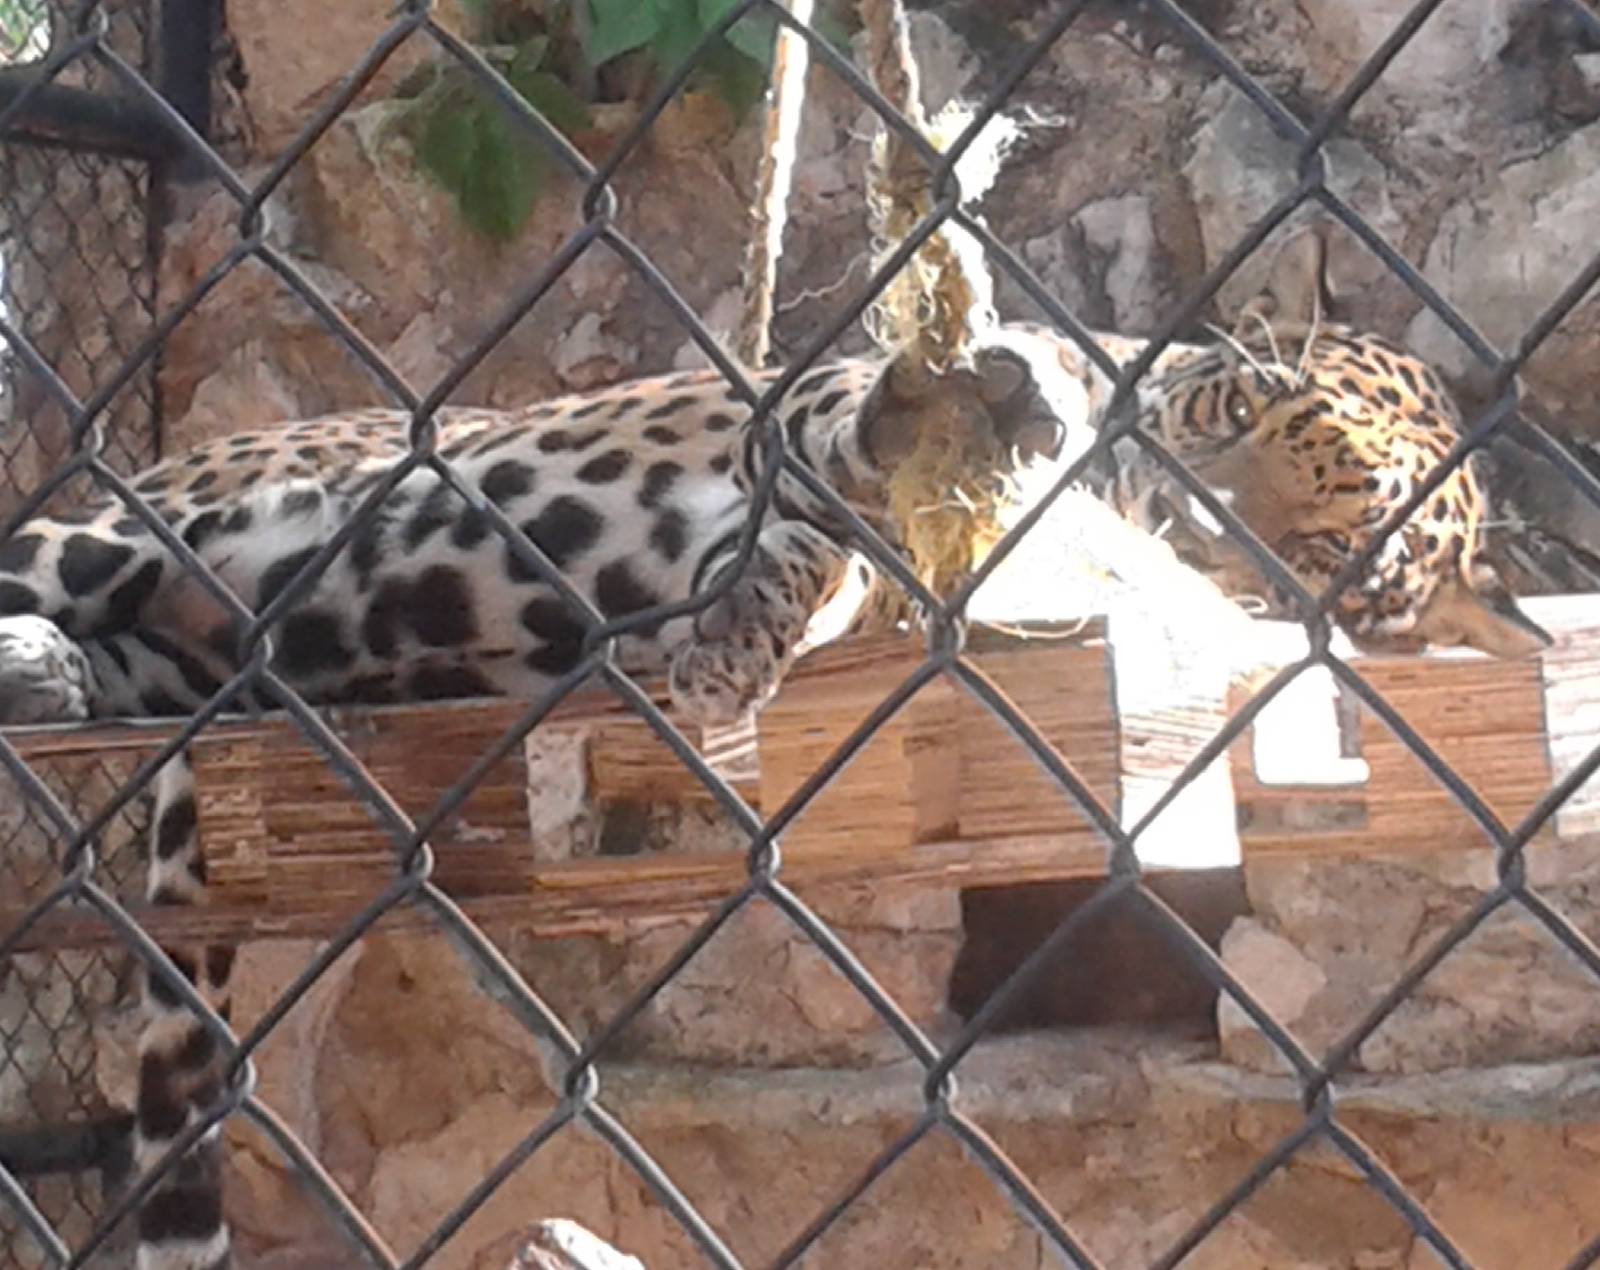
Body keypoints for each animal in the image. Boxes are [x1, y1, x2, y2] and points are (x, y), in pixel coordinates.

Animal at [0, 318, 1546, 1270]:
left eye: (1330, 555)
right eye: (1233, 413)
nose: (1174, 501)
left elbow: (826, 572)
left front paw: (754, 623)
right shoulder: (800, 416)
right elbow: (845, 449)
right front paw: (946, 425)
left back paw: (54, 676)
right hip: (122, 530)